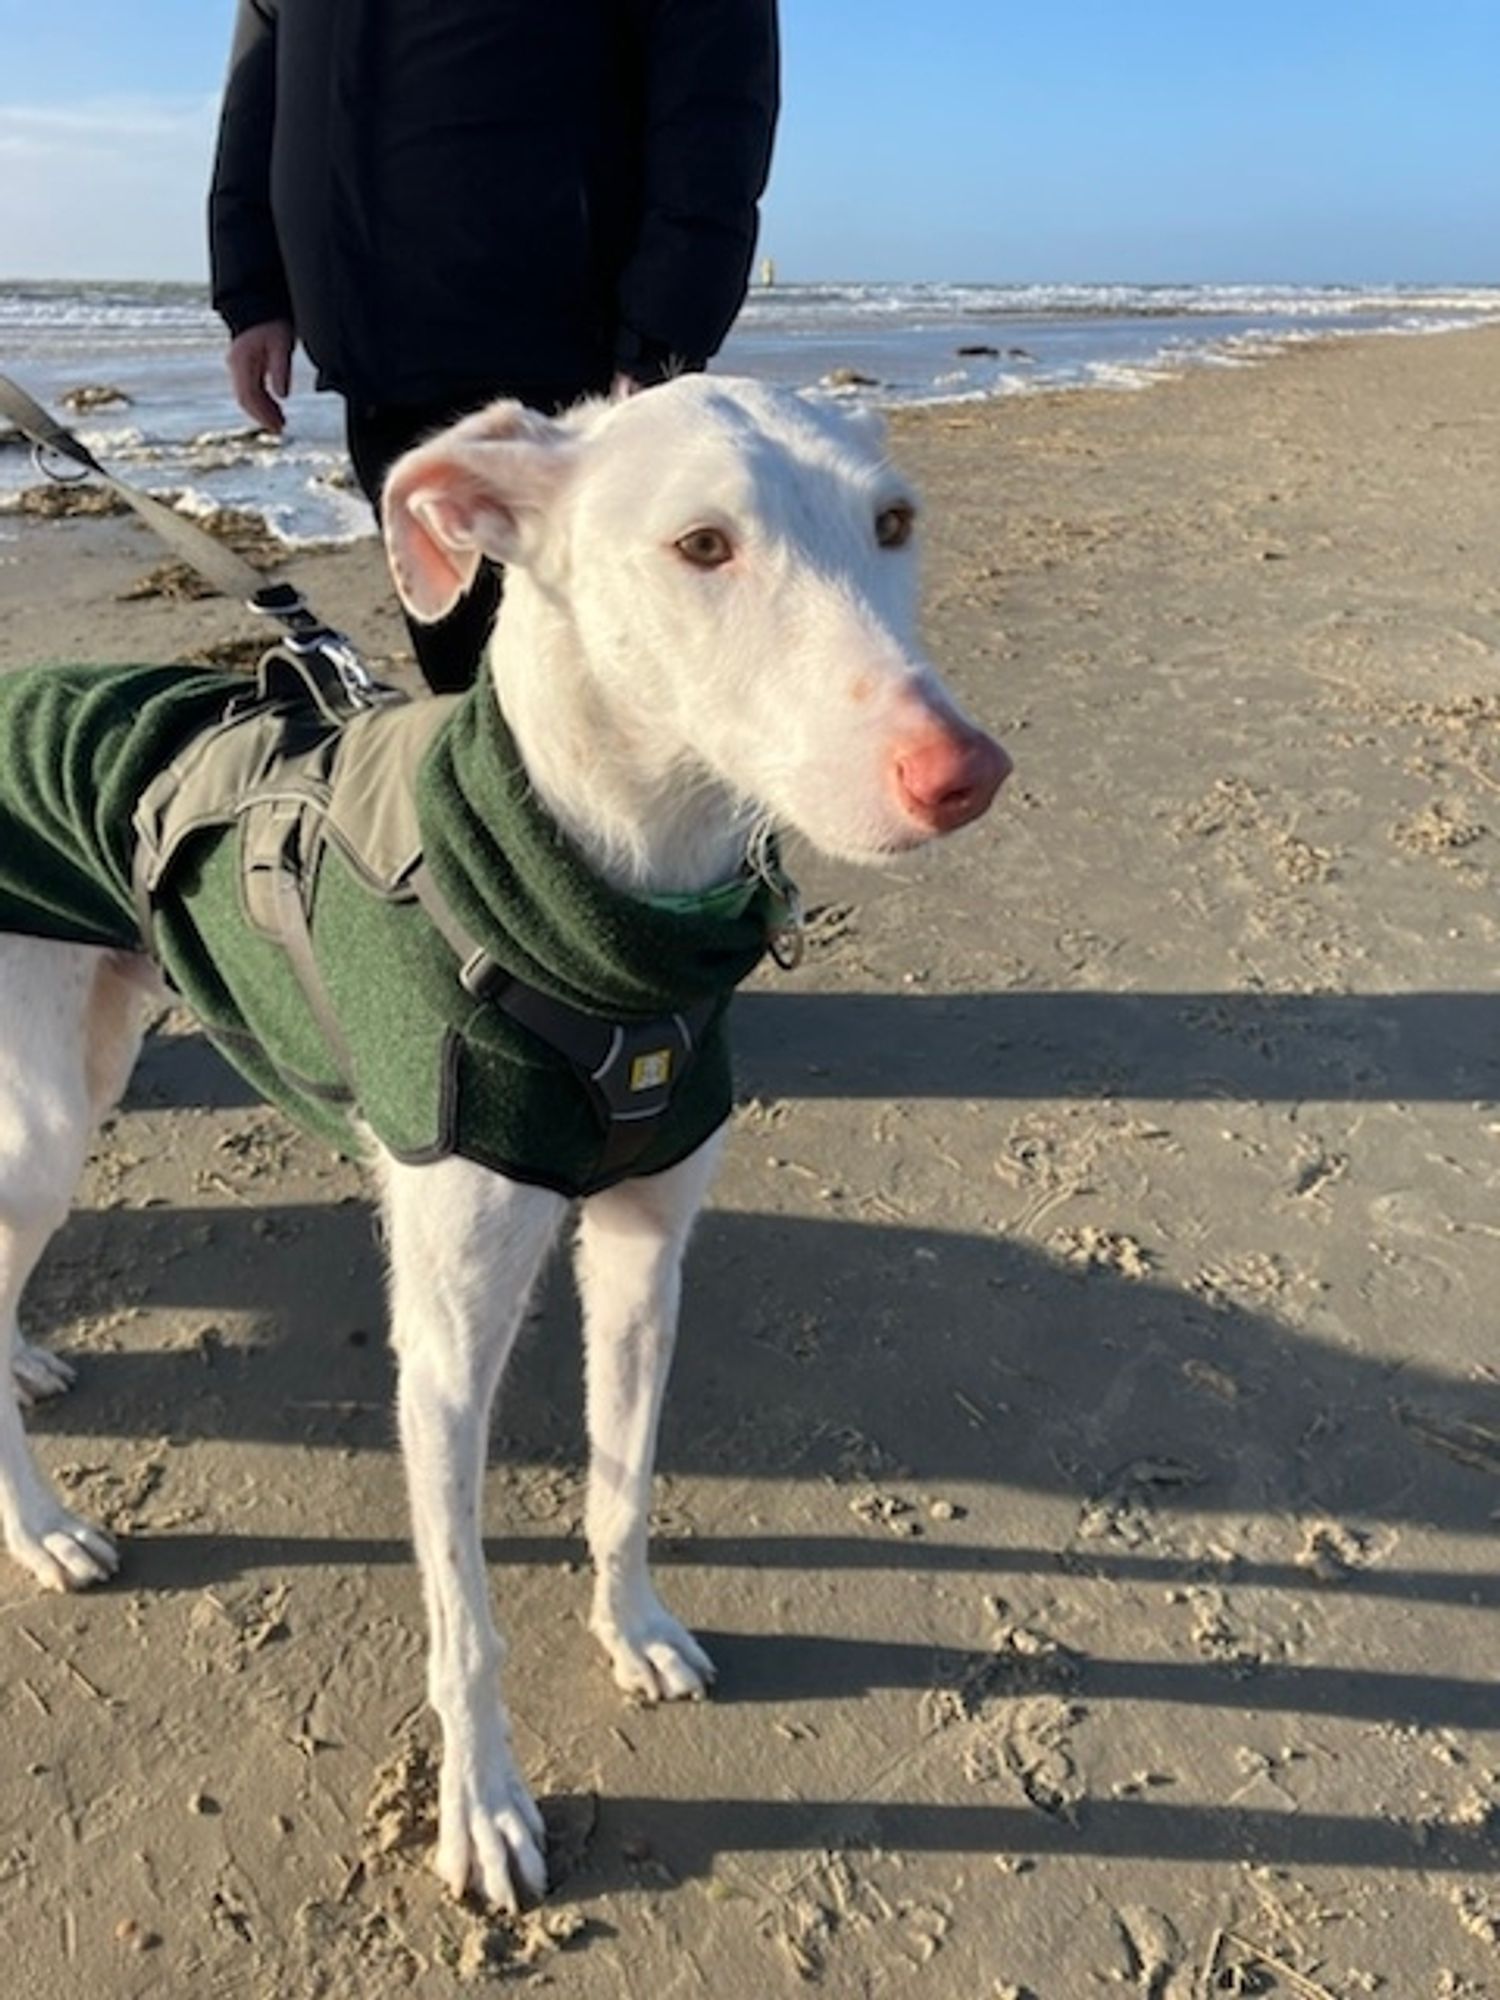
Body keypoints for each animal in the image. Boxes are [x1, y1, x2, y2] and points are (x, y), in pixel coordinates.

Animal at [0, 376, 1016, 1904]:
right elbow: (464, 1619)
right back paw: (45, 1525)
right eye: (702, 545)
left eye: (894, 522)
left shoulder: (645, 1252)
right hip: (51, 1112)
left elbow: (623, 1477)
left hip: (97, 1054)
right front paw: (482, 1806)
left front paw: (633, 1625)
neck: (603, 922)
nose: (965, 773)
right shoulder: (445, 1344)